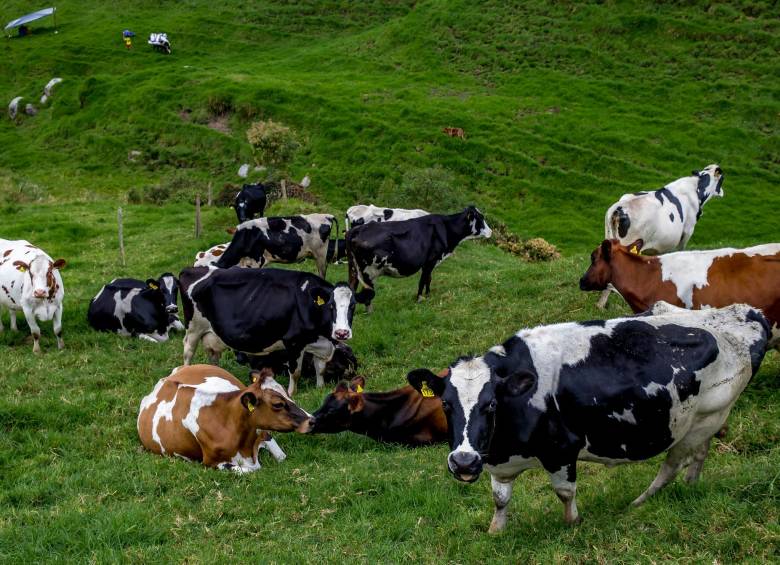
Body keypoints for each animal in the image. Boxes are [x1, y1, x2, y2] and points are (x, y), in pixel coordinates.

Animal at [137, 365, 311, 473]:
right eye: (277, 404)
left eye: (287, 392)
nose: (312, 420)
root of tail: (168, 377)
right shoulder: (212, 462)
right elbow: (249, 471)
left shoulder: (263, 433)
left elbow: (281, 456)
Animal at [180, 266, 356, 395]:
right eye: (331, 305)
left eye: (353, 305)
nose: (342, 333)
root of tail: (192, 269)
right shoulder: (293, 342)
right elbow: (295, 371)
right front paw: (291, 393)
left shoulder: (321, 343)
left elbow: (320, 368)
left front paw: (320, 388)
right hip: (193, 328)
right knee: (188, 352)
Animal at [346, 206, 492, 310]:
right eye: (480, 218)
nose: (491, 232)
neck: (446, 229)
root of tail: (357, 229)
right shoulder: (430, 261)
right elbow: (423, 280)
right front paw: (420, 299)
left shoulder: (430, 262)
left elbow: (428, 279)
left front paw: (428, 295)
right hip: (368, 271)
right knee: (367, 293)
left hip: (353, 269)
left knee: (351, 287)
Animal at [407, 302, 770, 532]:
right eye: (445, 405)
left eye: (491, 405)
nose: (464, 462)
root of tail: (743, 313)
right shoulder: (499, 460)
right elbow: (500, 498)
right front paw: (496, 530)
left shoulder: (562, 450)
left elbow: (565, 492)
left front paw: (574, 525)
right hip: (706, 421)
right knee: (700, 454)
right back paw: (691, 486)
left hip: (700, 419)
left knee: (672, 465)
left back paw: (640, 502)